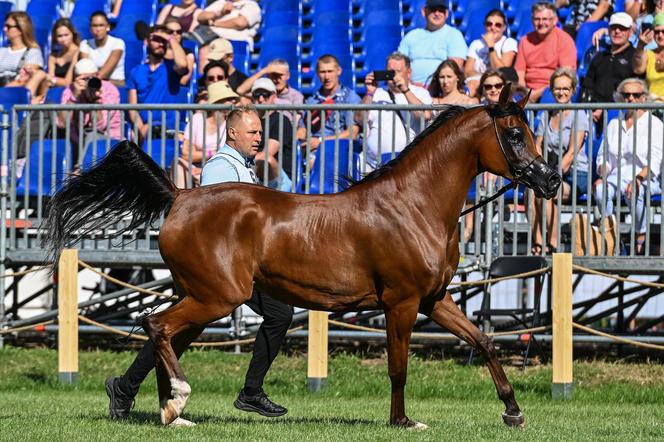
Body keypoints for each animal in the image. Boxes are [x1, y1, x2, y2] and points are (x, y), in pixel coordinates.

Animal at [42, 85, 560, 428]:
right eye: (514, 134)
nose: (551, 180)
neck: (415, 205)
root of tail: (180, 197)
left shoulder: (435, 299)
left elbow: (485, 341)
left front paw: (513, 411)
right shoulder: (402, 303)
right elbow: (398, 367)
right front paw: (403, 421)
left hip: (203, 295)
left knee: (164, 335)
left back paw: (154, 407)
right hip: (218, 297)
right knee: (157, 326)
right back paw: (174, 403)